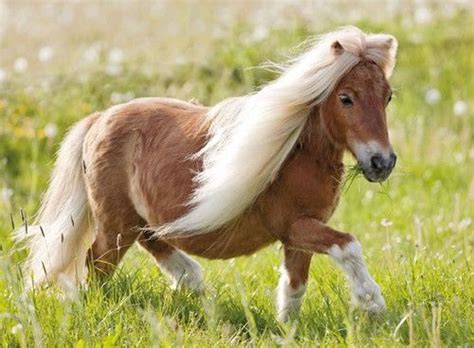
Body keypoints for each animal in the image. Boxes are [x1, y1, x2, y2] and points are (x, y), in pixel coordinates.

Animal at [15, 26, 396, 320]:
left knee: (154, 243)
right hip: (114, 224)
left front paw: (287, 329)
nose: (382, 162)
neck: (296, 153)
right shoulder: (295, 225)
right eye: (346, 98)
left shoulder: (298, 235)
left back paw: (194, 285)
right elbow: (347, 246)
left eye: (388, 97)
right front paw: (374, 304)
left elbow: (294, 287)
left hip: (137, 219)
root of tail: (98, 119)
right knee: (97, 264)